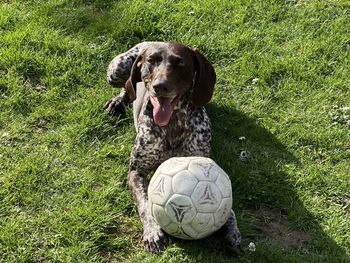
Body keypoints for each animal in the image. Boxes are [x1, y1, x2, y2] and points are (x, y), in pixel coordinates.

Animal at [104, 42, 241, 255]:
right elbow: (145, 203)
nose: (160, 86)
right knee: (127, 86)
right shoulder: (136, 172)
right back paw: (117, 102)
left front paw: (232, 231)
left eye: (180, 62)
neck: (173, 122)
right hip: (115, 69)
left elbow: (230, 208)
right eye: (152, 61)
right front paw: (153, 232)